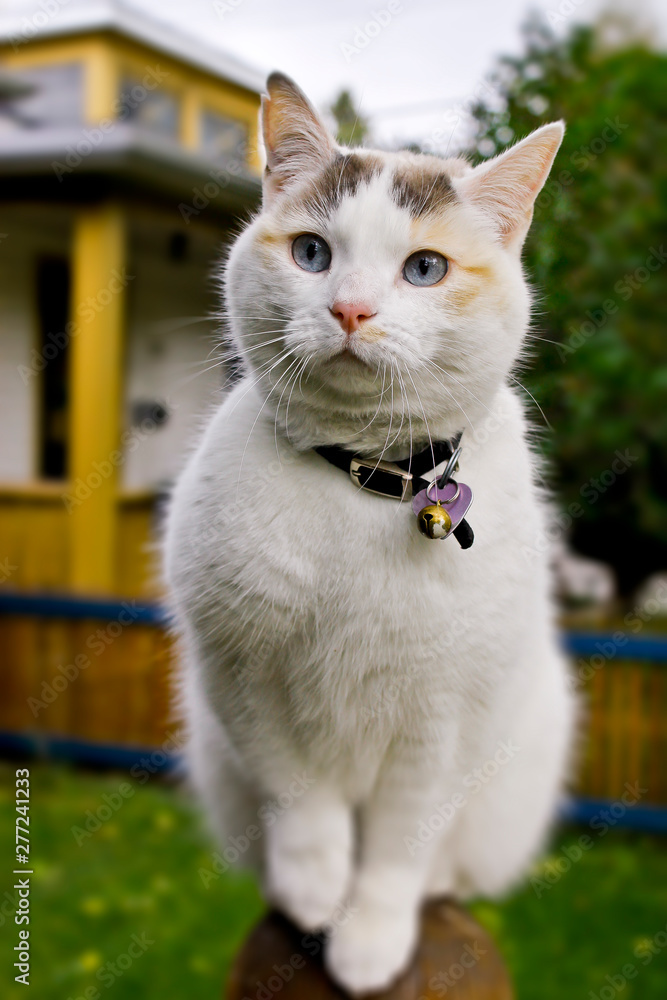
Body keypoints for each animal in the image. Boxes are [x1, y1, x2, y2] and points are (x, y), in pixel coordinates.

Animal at [164, 74, 576, 996]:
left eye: (424, 269)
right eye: (312, 253)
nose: (349, 308)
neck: (362, 478)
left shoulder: (444, 721)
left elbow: (398, 843)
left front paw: (372, 942)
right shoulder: (243, 678)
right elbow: (303, 803)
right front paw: (315, 894)